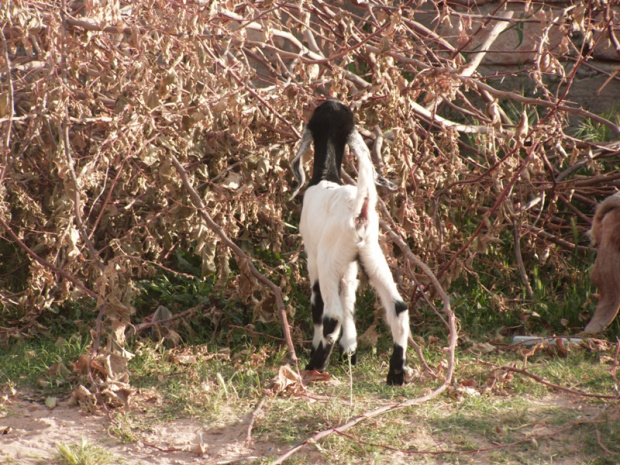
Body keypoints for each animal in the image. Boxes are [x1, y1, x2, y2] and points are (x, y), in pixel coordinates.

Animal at [292, 99, 412, 384]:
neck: (326, 177)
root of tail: (360, 209)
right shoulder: (349, 268)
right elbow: (349, 300)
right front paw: (349, 353)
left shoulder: (313, 260)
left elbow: (320, 307)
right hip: (372, 256)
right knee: (398, 308)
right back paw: (396, 373)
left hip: (327, 262)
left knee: (331, 314)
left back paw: (315, 366)